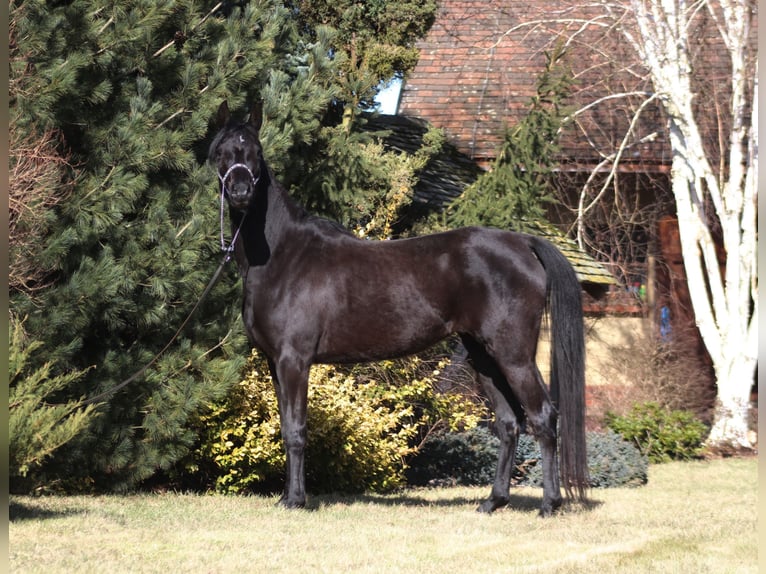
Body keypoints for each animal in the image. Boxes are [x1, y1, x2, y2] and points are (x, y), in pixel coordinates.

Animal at [209, 101, 588, 516]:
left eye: (256, 152)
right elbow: (283, 426)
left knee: (542, 416)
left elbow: (296, 429)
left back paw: (549, 504)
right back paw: (493, 501)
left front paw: (296, 500)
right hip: (483, 356)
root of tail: (522, 243)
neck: (284, 255)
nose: (241, 191)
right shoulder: (274, 362)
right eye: (221, 151)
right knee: (508, 422)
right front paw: (286, 496)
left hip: (514, 355)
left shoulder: (294, 360)